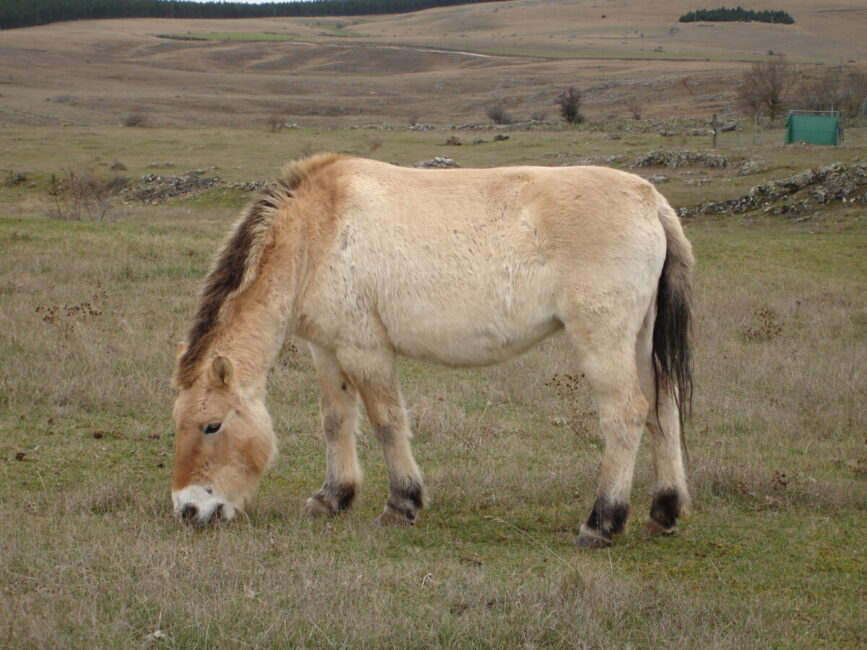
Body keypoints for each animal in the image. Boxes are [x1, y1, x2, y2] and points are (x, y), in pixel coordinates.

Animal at [170, 153, 693, 548]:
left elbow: (386, 422)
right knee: (662, 410)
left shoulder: (365, 350)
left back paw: (601, 523)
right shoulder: (328, 349)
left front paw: (401, 504)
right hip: (641, 341)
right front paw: (333, 497)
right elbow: (336, 420)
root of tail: (651, 202)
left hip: (603, 340)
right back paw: (663, 513)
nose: (188, 508)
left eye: (212, 425)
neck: (317, 230)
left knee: (626, 414)